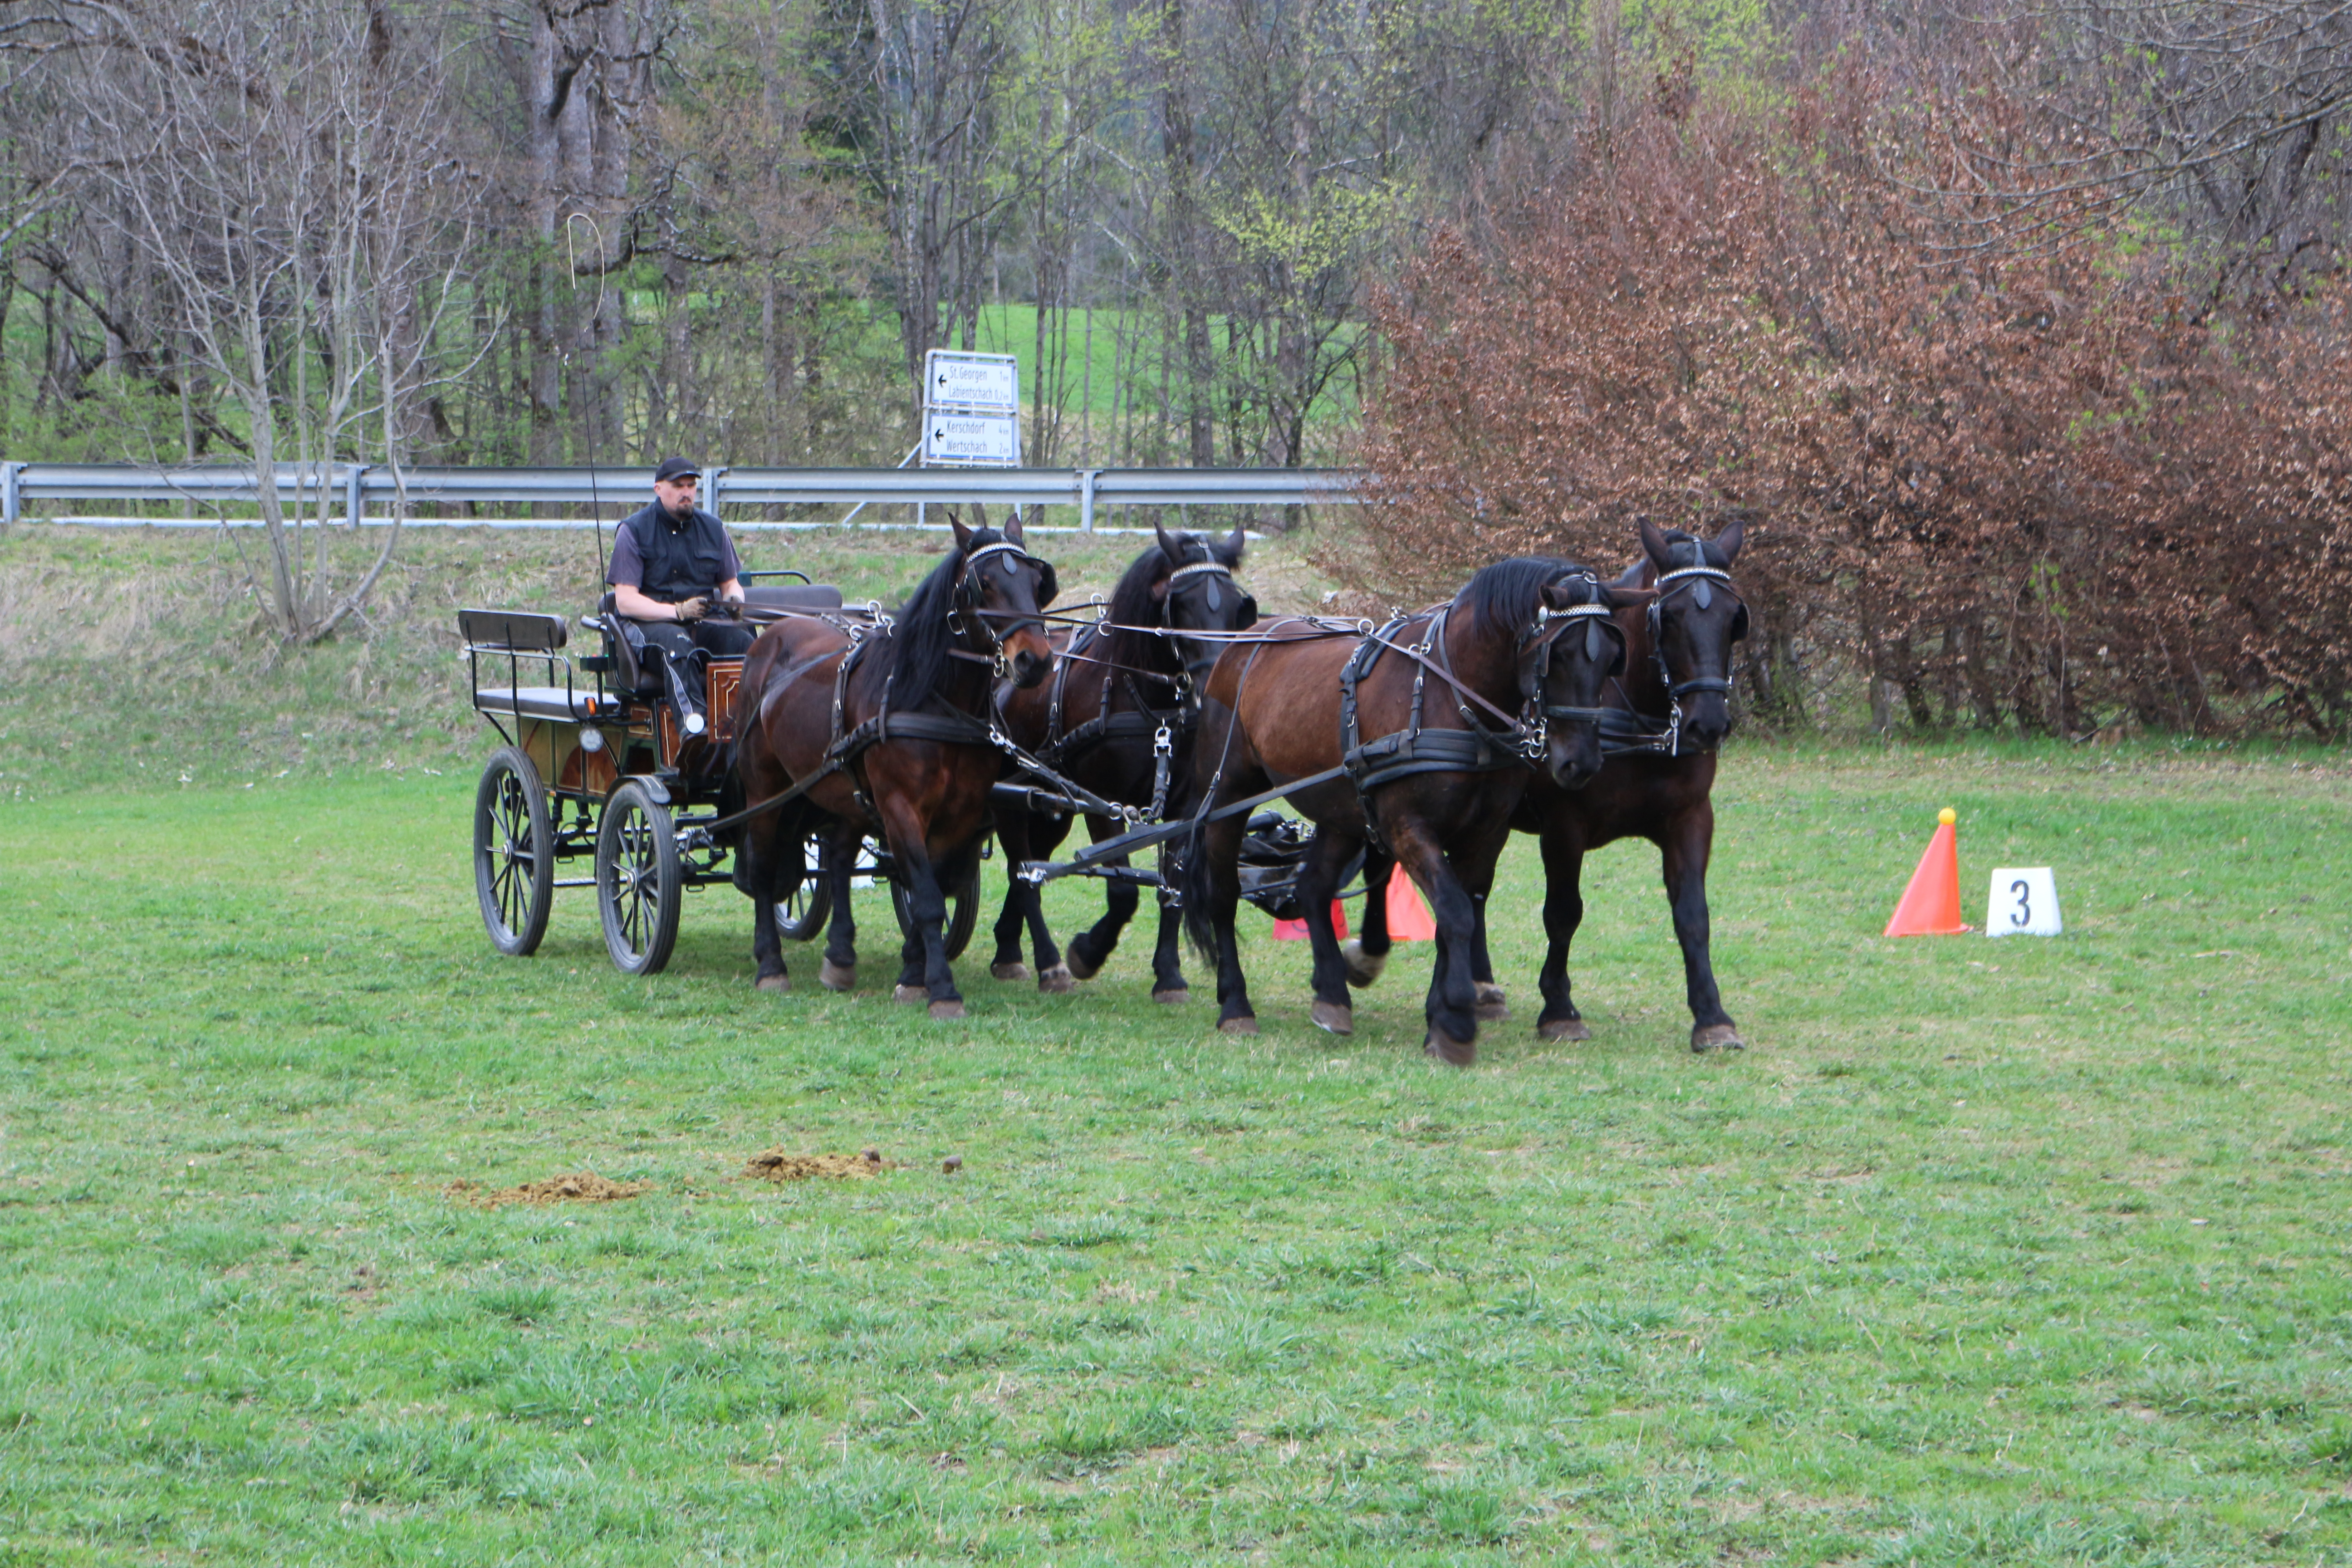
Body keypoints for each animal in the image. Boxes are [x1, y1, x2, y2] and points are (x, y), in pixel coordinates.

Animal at [724, 514, 1058, 1020]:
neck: (934, 699)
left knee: (839, 858)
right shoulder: (901, 808)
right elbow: (927, 897)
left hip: (842, 792)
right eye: (983, 584)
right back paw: (771, 965)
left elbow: (930, 888)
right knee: (764, 869)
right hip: (765, 789)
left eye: (1038, 583)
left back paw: (840, 956)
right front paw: (941, 989)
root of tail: (771, 635)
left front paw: (913, 973)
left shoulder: (959, 813)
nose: (1034, 662)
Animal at [988, 522, 1260, 1001]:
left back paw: (1008, 948)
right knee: (1023, 871)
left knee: (1033, 862)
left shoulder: (1186, 805)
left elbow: (1172, 888)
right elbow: (1121, 891)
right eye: (1182, 604)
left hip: (1053, 807)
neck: (1144, 698)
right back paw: (1049, 963)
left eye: (1235, 606)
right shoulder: (1105, 803)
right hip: (1011, 798)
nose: (1215, 682)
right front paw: (1087, 952)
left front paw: (1168, 974)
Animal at [1176, 554, 1656, 1067]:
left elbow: (1456, 916)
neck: (1454, 696)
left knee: (1313, 886)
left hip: (1340, 807)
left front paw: (1440, 1015)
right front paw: (1457, 1022)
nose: (1580, 762)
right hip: (1229, 794)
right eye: (1559, 654)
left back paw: (1332, 996)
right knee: (1223, 895)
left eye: (1613, 657)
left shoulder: (1483, 835)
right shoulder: (1408, 828)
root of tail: (1244, 640)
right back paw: (1235, 1004)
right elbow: (1456, 911)